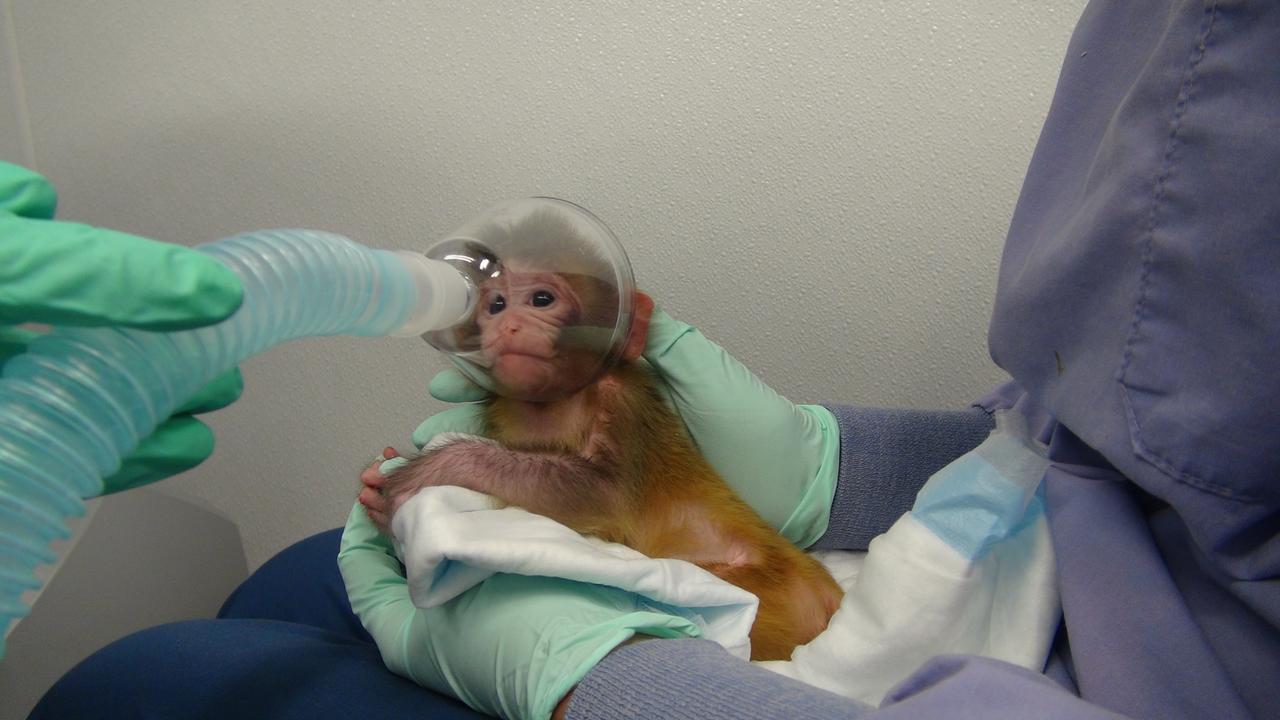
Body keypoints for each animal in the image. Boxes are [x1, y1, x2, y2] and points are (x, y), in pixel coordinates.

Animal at [359, 222, 843, 662]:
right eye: (494, 304)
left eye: (541, 299)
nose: (508, 323)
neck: (550, 408)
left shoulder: (621, 400)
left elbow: (603, 494)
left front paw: (426, 472)